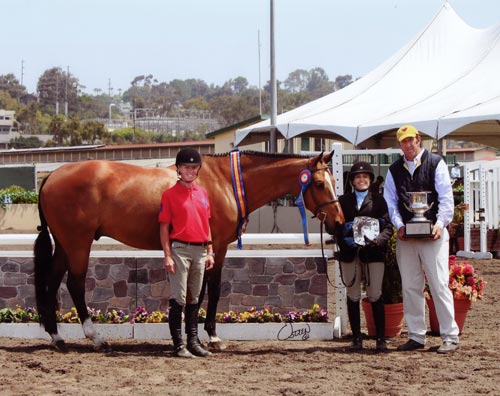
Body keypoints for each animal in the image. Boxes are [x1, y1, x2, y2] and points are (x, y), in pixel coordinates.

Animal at [34, 150, 344, 352]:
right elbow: (213, 290)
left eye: (333, 181)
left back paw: (57, 338)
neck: (226, 181)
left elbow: (200, 292)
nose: (339, 221)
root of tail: (51, 176)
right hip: (78, 243)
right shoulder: (217, 246)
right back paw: (95, 338)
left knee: (52, 281)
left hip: (65, 244)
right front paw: (213, 337)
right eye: (319, 183)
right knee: (74, 284)